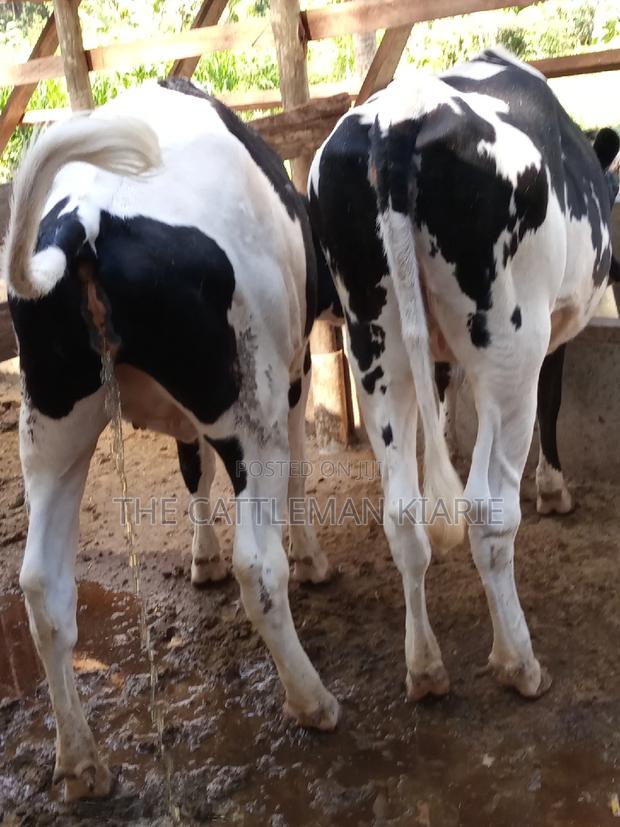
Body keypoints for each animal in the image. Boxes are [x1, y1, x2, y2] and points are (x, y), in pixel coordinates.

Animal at [2, 78, 339, 801]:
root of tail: (87, 219)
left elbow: (193, 471)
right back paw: (312, 700)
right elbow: (296, 473)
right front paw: (312, 559)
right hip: (250, 404)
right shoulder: (292, 374)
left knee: (43, 585)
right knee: (258, 565)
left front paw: (200, 557)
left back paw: (80, 762)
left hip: (51, 427)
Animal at [309, 47, 619, 703]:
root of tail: (399, 120)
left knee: (402, 513)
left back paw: (425, 668)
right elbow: (553, 400)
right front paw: (554, 489)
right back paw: (519, 662)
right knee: (487, 513)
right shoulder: (552, 330)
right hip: (510, 344)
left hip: (374, 340)